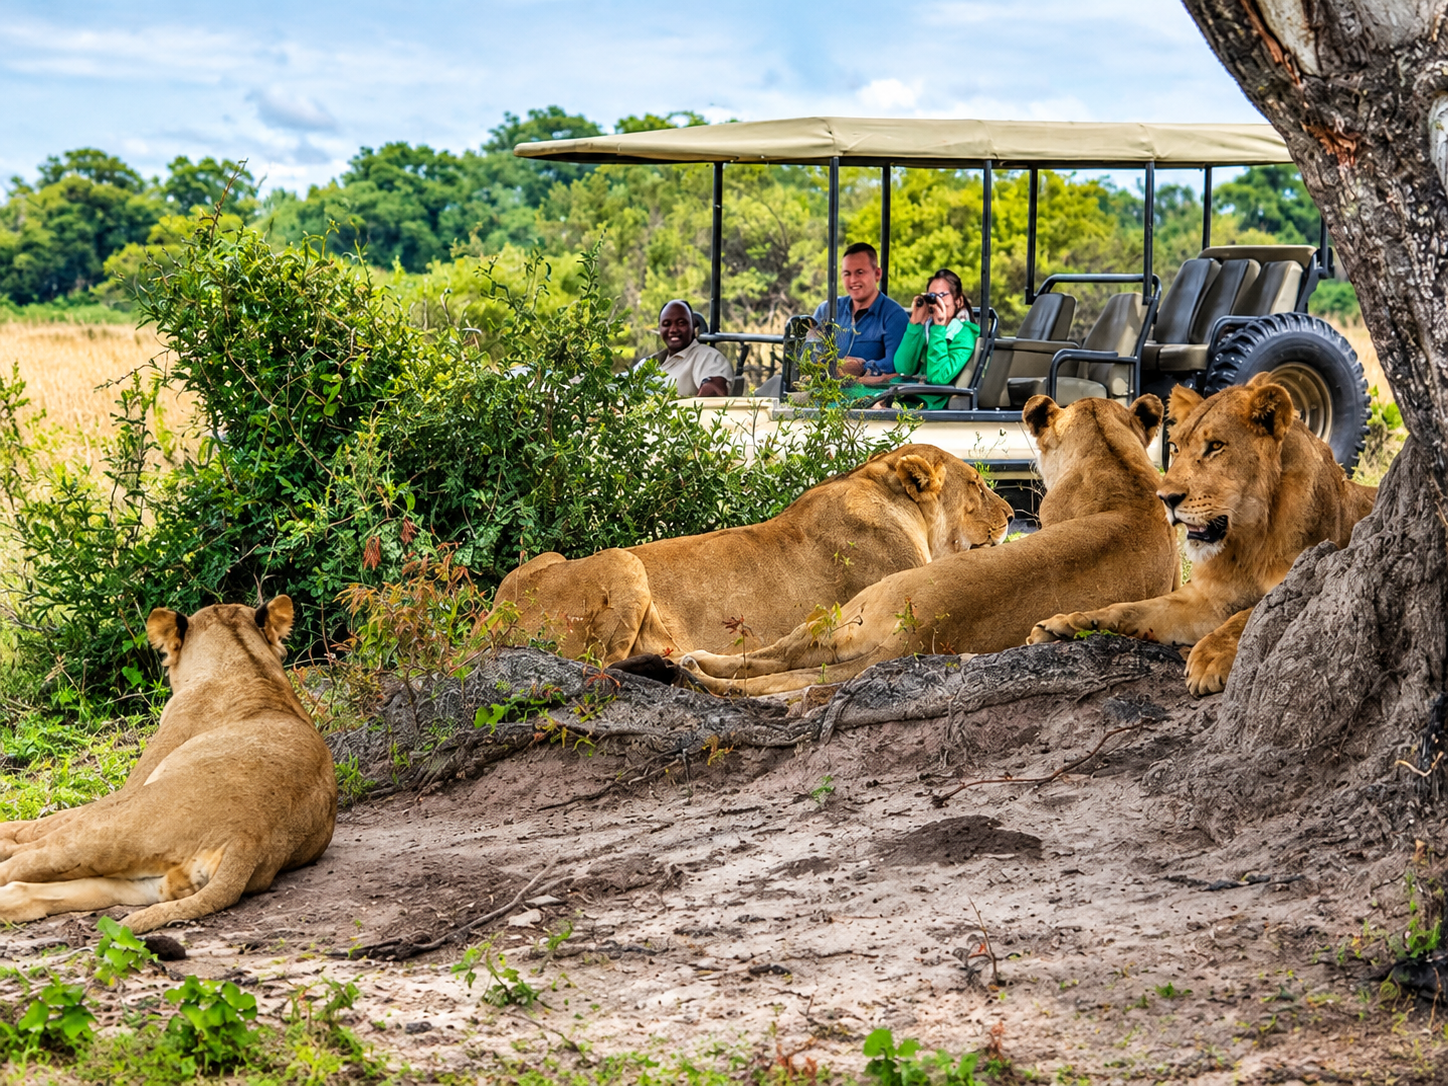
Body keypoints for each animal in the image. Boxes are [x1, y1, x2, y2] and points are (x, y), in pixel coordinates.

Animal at [0, 597, 337, 933]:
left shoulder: (130, 788)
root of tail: (249, 842)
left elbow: (51, 819)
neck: (248, 661)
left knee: (24, 860)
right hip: (149, 883)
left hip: (115, 827)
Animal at [492, 444, 1013, 664]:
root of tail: (486, 626)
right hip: (624, 560)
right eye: (977, 484)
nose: (1012, 513)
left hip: (542, 559)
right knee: (601, 664)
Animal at [680, 395, 1180, 696]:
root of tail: (916, 633)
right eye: (977, 485)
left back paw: (693, 664)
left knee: (776, 663)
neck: (1122, 473)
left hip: (841, 612)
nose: (1012, 516)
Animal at [1028, 376, 1378, 695]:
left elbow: (1248, 615)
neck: (1248, 542)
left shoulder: (1306, 582)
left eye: (1216, 447)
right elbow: (1131, 607)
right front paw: (1070, 623)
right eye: (1175, 447)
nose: (1165, 497)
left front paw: (1211, 656)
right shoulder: (1205, 599)